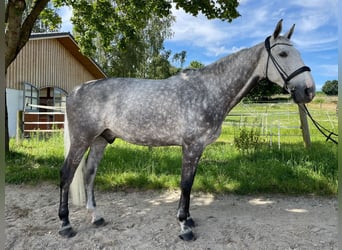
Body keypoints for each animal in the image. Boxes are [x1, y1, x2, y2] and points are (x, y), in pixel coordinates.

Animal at [58, 20, 316, 240]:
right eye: (283, 54)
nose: (308, 91)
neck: (208, 90)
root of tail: (76, 91)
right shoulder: (191, 146)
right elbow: (184, 184)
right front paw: (184, 227)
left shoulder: (197, 148)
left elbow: (190, 184)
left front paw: (189, 219)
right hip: (82, 139)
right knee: (67, 174)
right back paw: (66, 225)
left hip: (100, 140)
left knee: (89, 174)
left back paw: (96, 217)